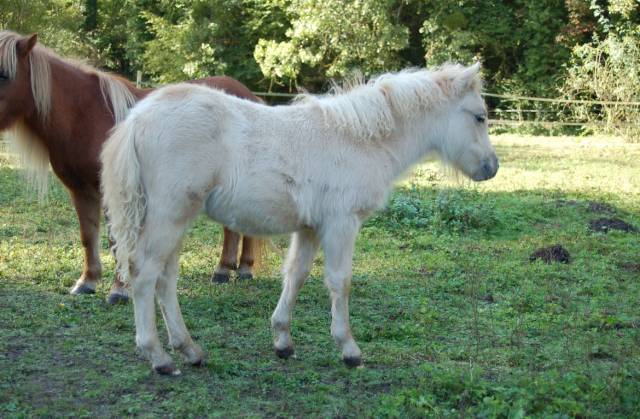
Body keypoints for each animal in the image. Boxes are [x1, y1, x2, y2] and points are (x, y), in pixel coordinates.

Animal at [1, 31, 260, 304]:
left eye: (4, 74)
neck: (87, 117)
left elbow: (117, 241)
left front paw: (119, 290)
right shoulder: (80, 191)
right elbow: (88, 236)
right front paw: (87, 282)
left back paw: (239, 269)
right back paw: (227, 269)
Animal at [101, 62, 500, 374]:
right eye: (479, 116)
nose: (491, 168)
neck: (359, 140)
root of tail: (137, 118)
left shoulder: (310, 227)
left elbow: (296, 275)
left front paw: (283, 341)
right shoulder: (342, 222)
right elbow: (340, 281)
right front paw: (349, 350)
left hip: (176, 218)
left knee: (165, 278)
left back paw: (190, 350)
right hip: (169, 215)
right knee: (144, 272)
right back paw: (159, 357)